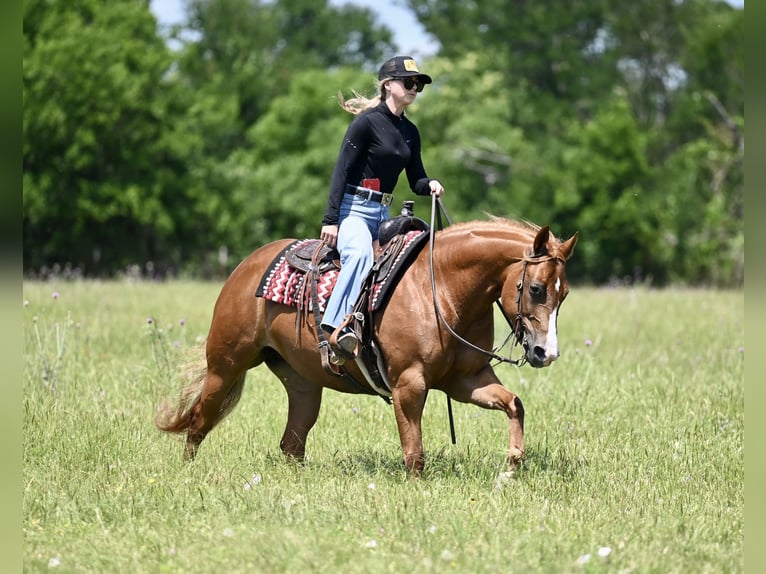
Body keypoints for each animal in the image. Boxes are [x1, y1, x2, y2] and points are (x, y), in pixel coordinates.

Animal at [156, 215, 578, 475]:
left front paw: (512, 466)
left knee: (292, 442)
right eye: (536, 289)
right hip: (226, 365)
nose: (546, 353)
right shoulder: (409, 384)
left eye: (565, 294)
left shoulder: (467, 379)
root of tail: (246, 266)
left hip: (302, 383)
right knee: (199, 420)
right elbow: (414, 452)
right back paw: (187, 471)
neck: (440, 288)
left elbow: (514, 404)